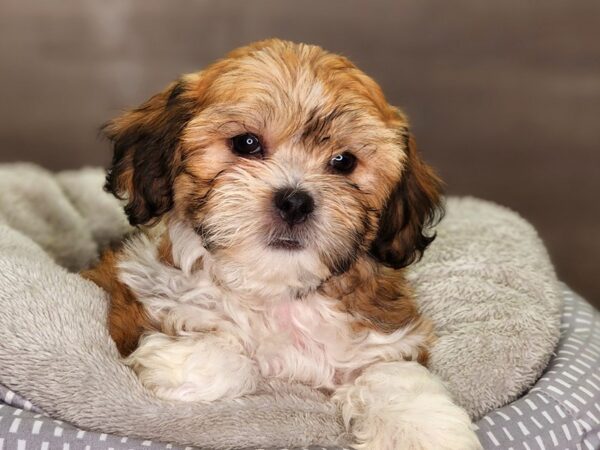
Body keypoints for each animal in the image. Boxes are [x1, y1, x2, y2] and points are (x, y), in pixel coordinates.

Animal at [84, 39, 480, 450]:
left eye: (344, 162)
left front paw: (422, 430)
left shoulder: (386, 339)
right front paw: (181, 364)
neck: (277, 290)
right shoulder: (133, 298)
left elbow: (393, 375)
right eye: (246, 143)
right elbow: (230, 353)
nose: (294, 201)